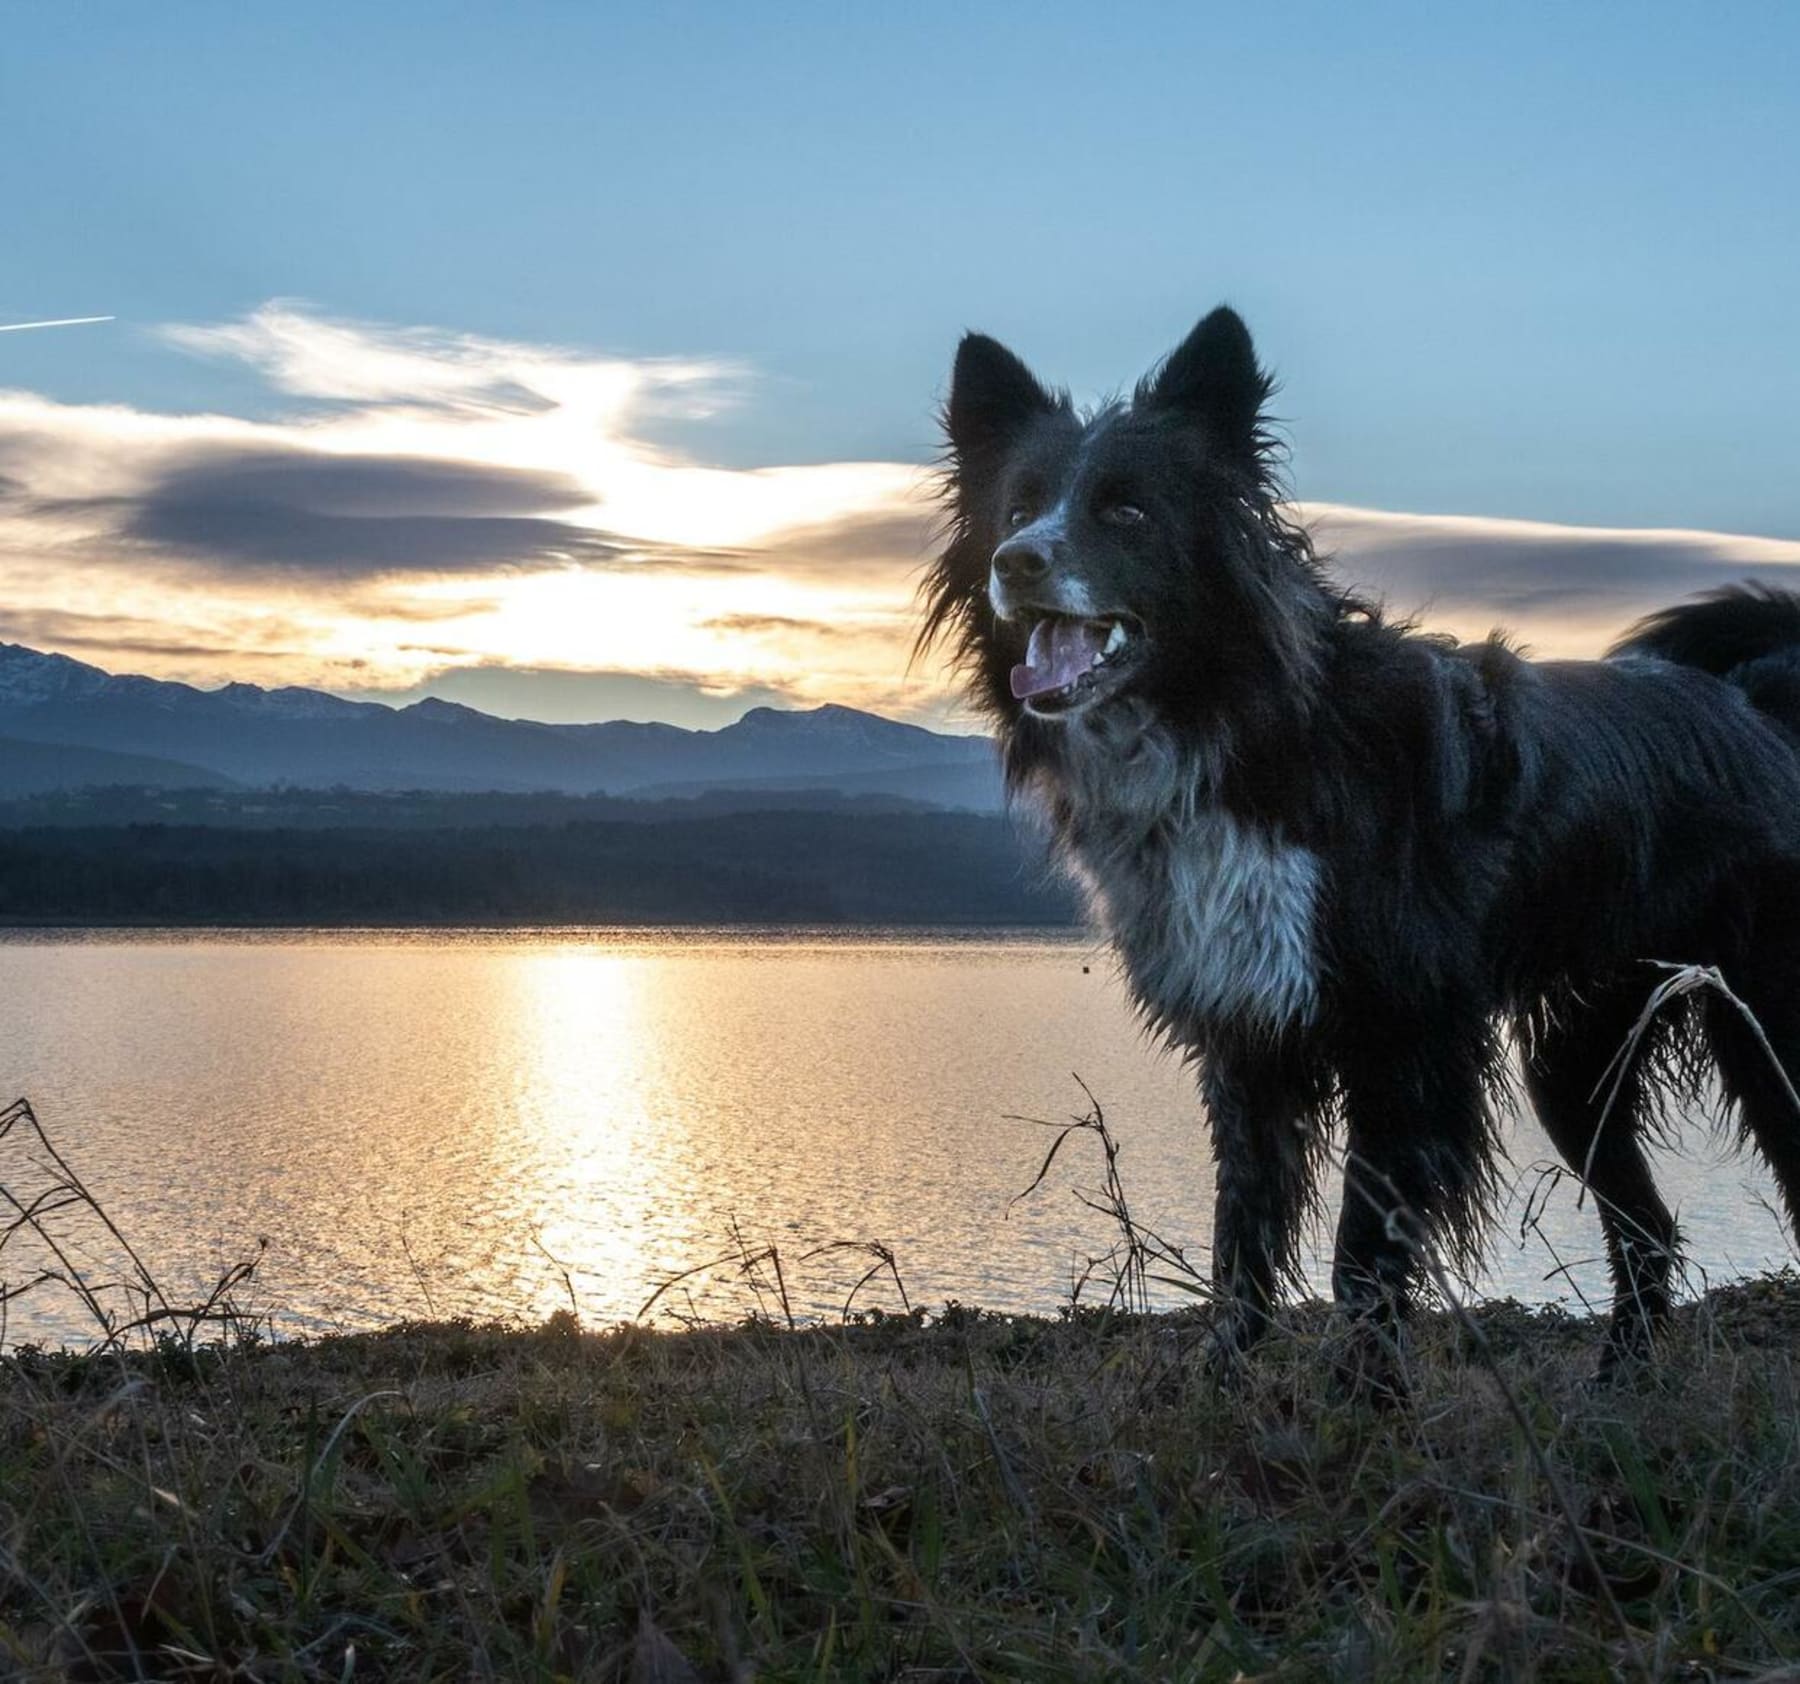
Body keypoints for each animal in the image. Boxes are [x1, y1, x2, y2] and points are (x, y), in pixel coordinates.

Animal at [921, 305, 1800, 1381]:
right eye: (1018, 508)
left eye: (1126, 512)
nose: (1018, 561)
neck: (1252, 729)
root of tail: (1762, 702)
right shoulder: (1247, 1033)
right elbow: (1244, 1238)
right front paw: (1223, 1387)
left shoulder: (1401, 1038)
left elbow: (1363, 1251)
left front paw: (1363, 1399)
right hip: (1578, 1053)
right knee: (1645, 1227)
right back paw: (1619, 1385)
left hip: (1769, 1024)